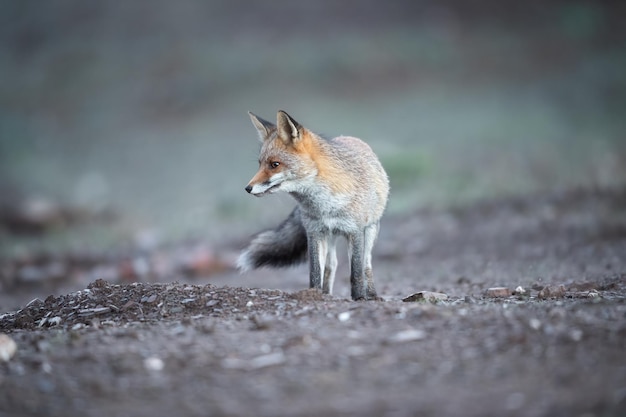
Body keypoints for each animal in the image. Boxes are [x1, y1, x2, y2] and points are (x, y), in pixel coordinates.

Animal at [236, 110, 388, 300]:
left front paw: (359, 298)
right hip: (330, 235)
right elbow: (315, 272)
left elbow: (356, 272)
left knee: (366, 263)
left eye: (274, 164)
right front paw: (314, 295)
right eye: (260, 164)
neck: (326, 206)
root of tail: (350, 138)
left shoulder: (355, 231)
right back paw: (327, 294)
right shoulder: (314, 232)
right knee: (332, 264)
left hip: (370, 229)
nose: (247, 188)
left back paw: (372, 294)